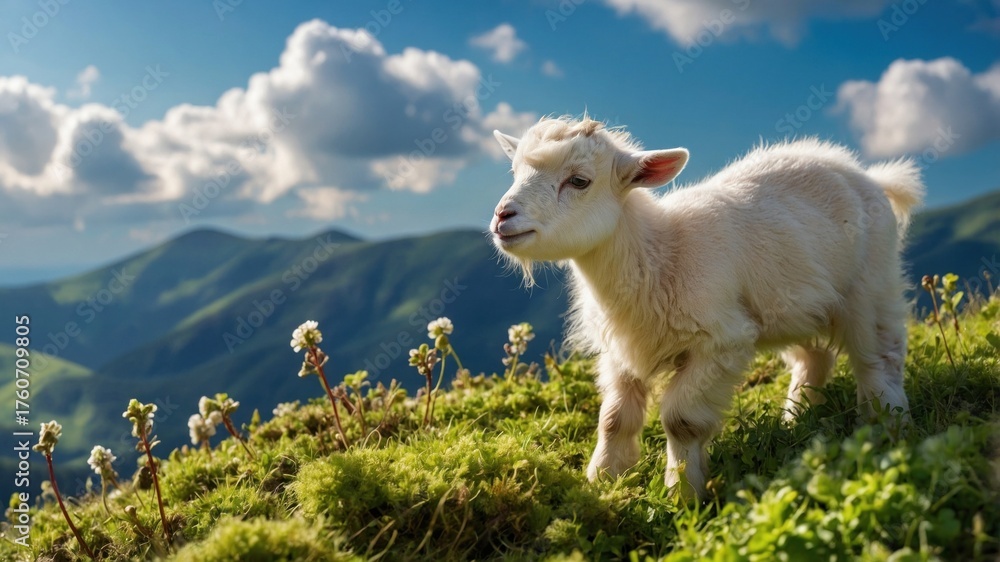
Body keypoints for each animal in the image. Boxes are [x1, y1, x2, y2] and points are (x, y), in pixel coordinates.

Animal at [489, 116, 923, 498]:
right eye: (514, 172)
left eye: (579, 181)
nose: (502, 216)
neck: (658, 252)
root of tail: (870, 177)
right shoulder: (620, 351)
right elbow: (614, 419)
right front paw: (603, 480)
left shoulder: (721, 342)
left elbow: (680, 421)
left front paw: (682, 492)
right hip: (788, 306)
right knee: (814, 358)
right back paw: (797, 418)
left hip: (870, 285)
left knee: (880, 358)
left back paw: (888, 425)